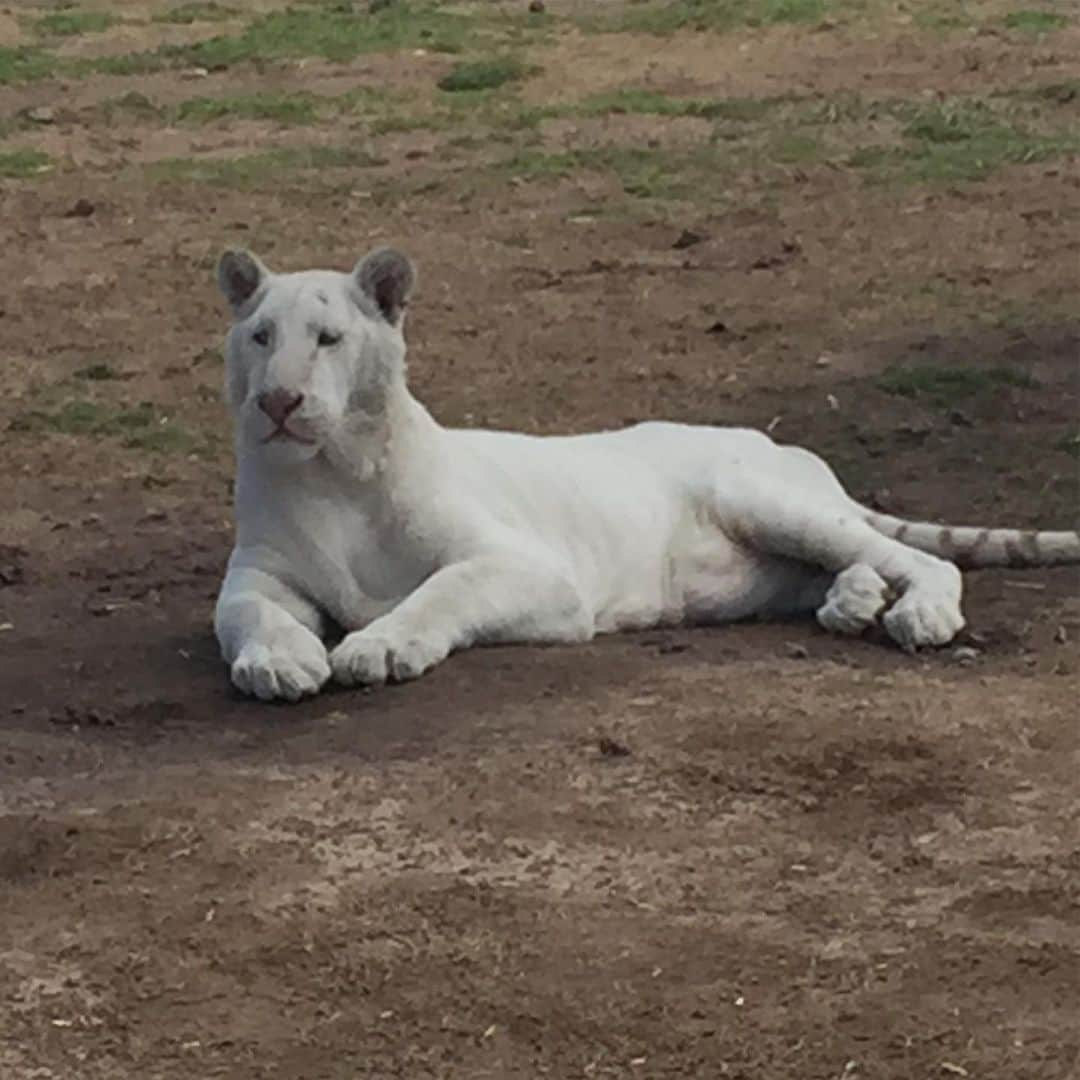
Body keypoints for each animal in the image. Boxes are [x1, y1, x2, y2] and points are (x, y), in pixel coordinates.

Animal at [212, 246, 1080, 704]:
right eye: (260, 336)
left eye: (327, 339)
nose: (279, 401)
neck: (330, 472)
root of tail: (789, 450)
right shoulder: (260, 572)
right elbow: (247, 614)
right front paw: (281, 661)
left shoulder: (529, 569)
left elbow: (440, 590)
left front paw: (379, 645)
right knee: (852, 565)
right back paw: (852, 605)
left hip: (762, 499)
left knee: (921, 558)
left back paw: (917, 615)